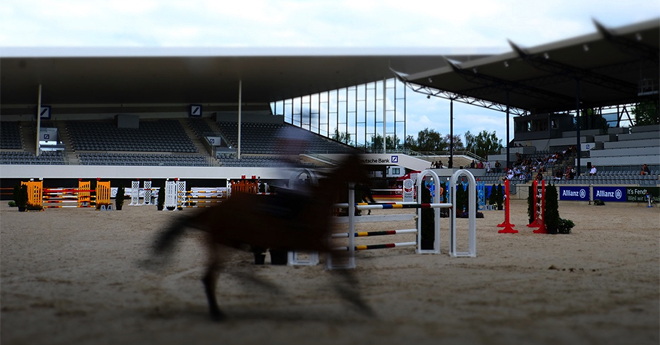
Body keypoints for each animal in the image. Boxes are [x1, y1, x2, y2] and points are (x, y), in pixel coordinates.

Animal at [148, 154, 374, 320]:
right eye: (362, 166)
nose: (372, 183)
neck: (315, 203)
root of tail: (212, 210)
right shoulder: (315, 242)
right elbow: (340, 263)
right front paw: (358, 301)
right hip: (224, 242)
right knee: (213, 276)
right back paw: (220, 312)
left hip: (230, 242)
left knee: (225, 272)